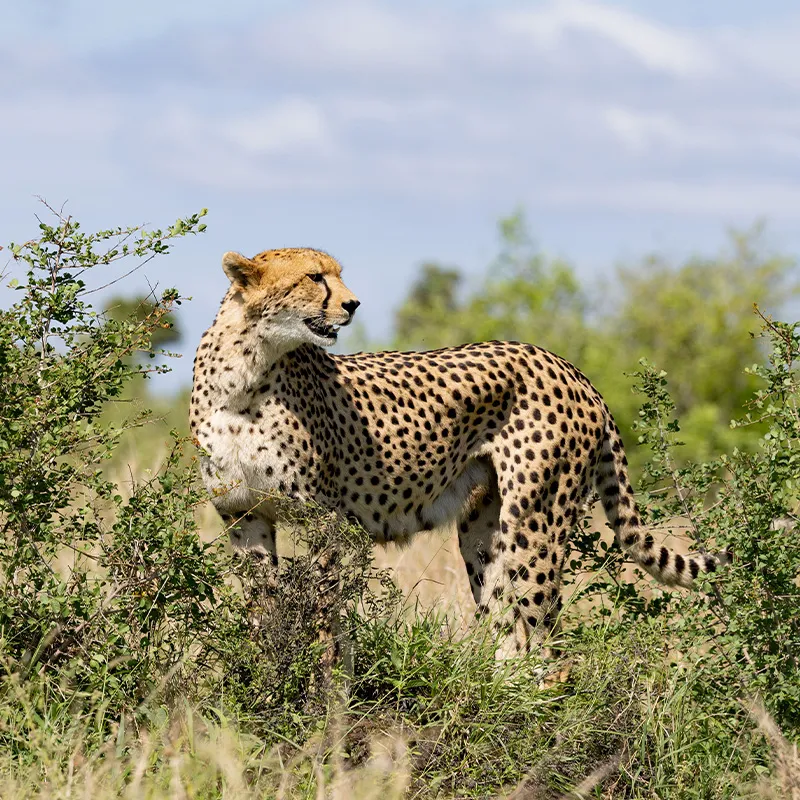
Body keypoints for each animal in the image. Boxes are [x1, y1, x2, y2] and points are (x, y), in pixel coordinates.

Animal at [190, 246, 730, 659]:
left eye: (338, 273)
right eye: (313, 276)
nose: (353, 303)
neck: (246, 375)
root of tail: (567, 365)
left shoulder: (325, 520)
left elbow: (322, 609)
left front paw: (322, 687)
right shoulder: (244, 513)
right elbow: (262, 609)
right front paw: (267, 675)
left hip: (536, 521)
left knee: (548, 642)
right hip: (482, 528)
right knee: (509, 630)